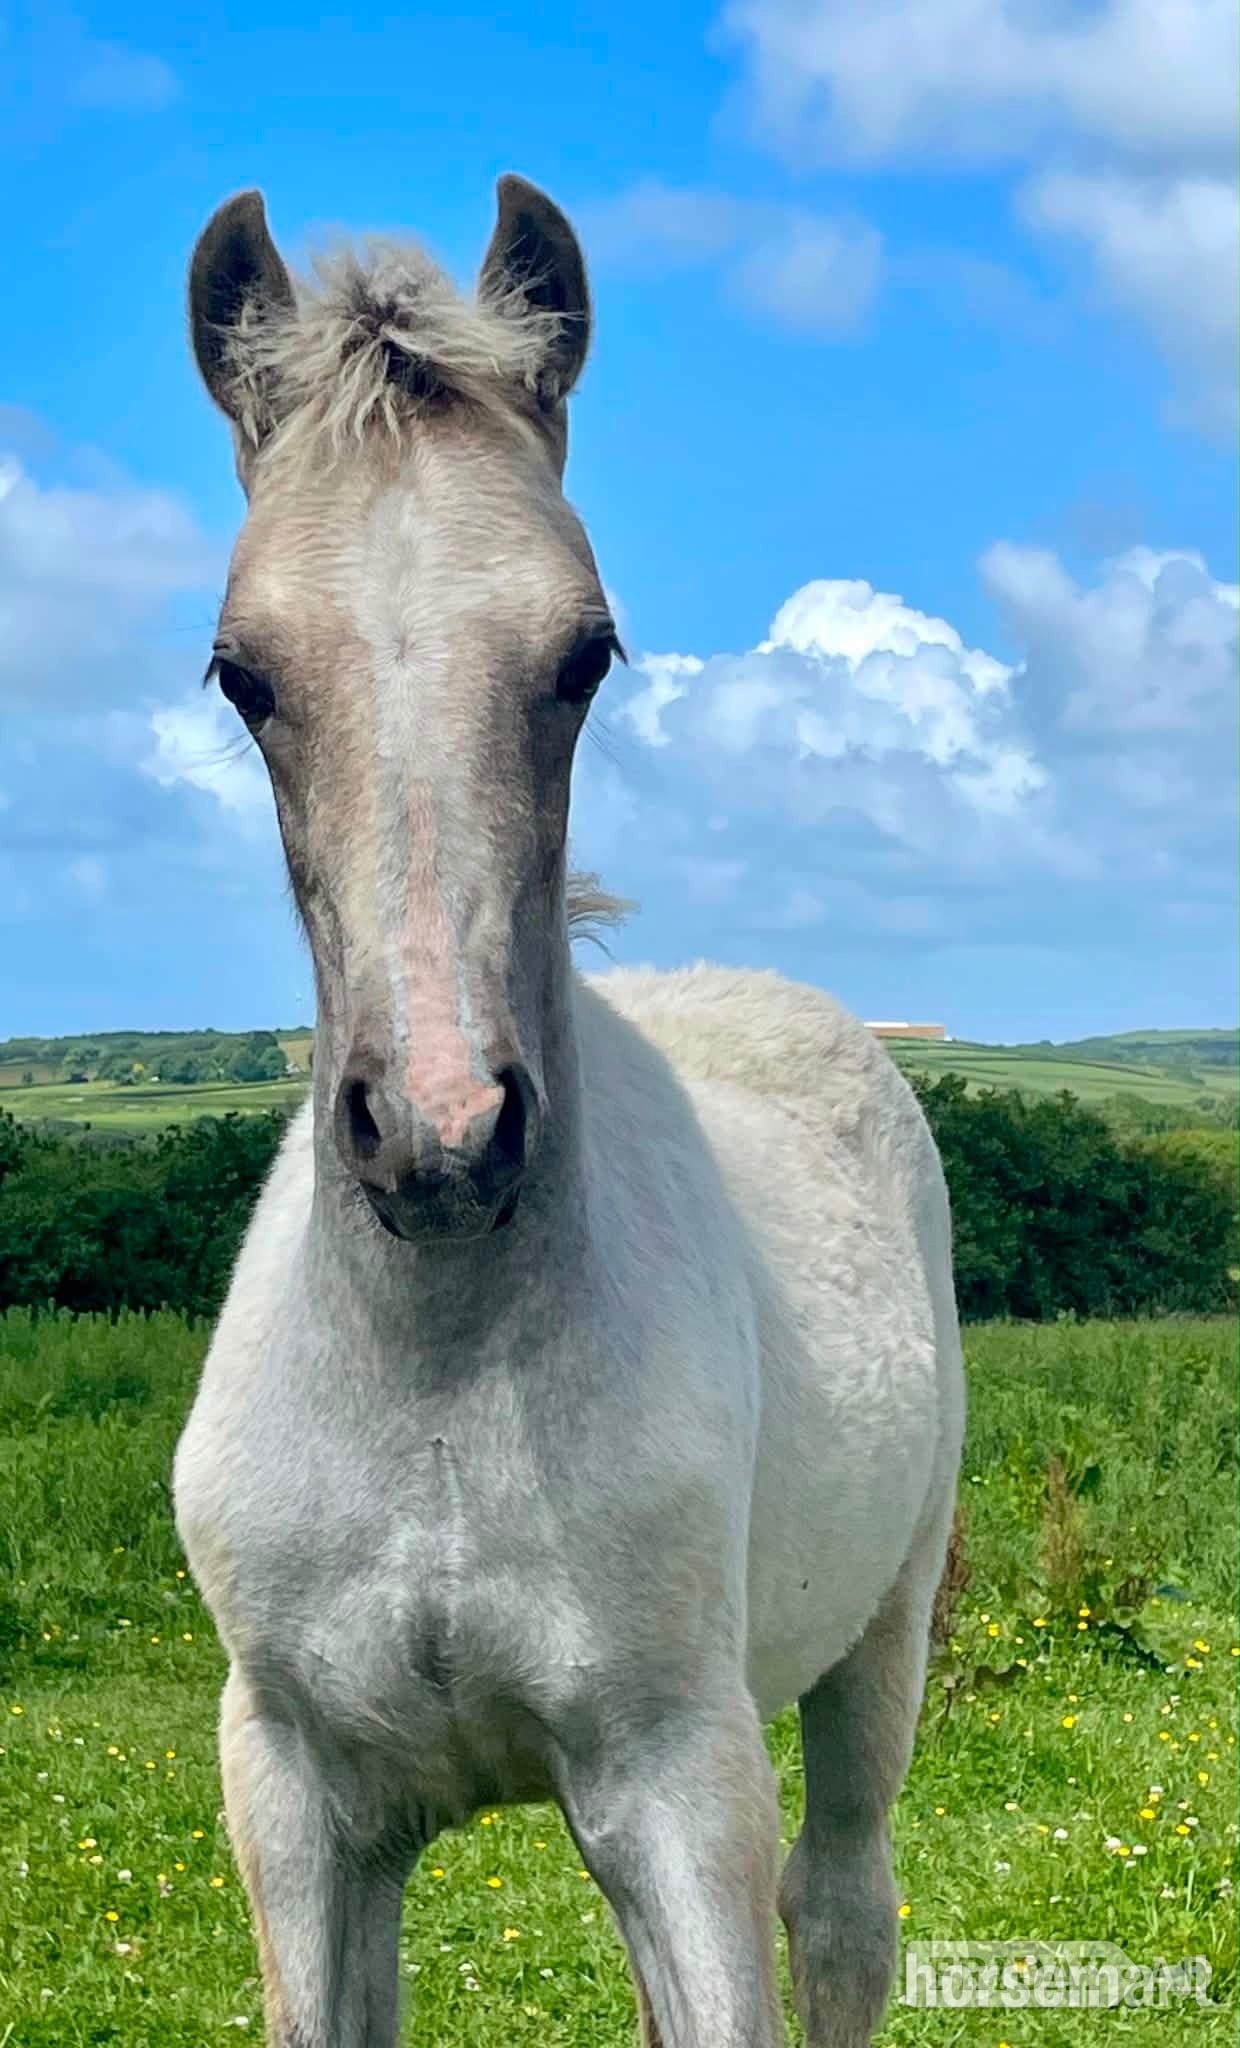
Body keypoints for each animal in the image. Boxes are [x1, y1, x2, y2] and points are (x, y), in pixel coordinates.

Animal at [173, 174, 964, 2048]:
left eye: (582, 654)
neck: (438, 1387)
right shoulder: (298, 1805)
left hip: (877, 1638)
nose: (445, 1135)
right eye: (243, 675)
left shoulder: (680, 1781)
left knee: (845, 1910)